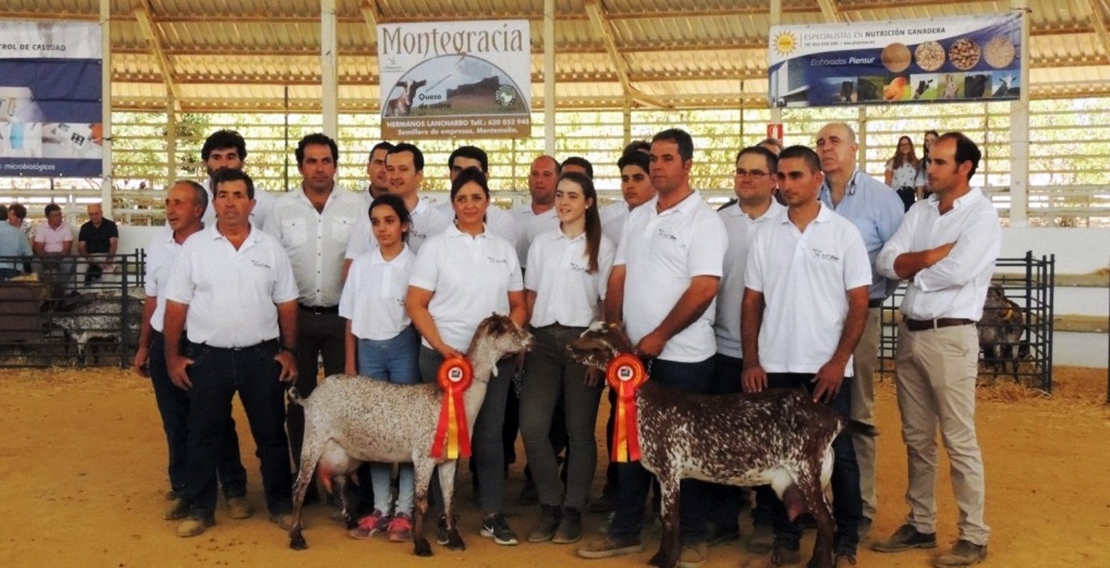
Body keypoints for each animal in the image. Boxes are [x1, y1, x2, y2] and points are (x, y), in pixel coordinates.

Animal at [284, 310, 530, 554]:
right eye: (509, 328)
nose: (531, 339)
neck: (452, 400)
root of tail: (310, 398)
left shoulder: (448, 460)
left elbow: (449, 500)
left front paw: (455, 539)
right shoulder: (423, 457)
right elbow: (421, 502)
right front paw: (421, 544)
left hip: (341, 452)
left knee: (341, 482)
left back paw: (351, 522)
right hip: (314, 440)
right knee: (298, 488)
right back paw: (297, 536)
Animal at [563, 321, 865, 568]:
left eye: (590, 338)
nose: (567, 346)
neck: (645, 400)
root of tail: (832, 417)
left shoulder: (669, 470)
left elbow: (671, 519)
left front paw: (667, 561)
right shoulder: (665, 474)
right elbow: (665, 516)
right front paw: (659, 557)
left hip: (805, 470)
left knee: (826, 521)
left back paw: (822, 564)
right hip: (817, 473)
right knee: (828, 516)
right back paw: (815, 560)